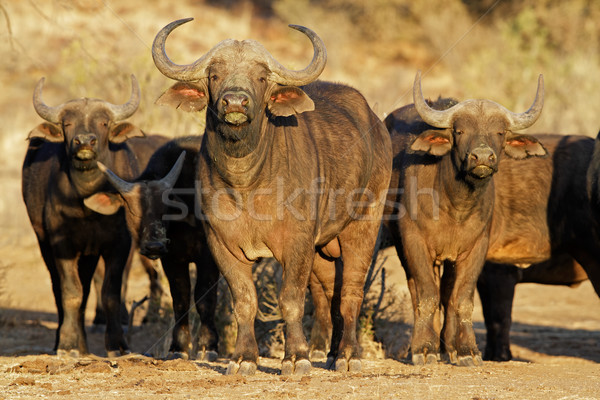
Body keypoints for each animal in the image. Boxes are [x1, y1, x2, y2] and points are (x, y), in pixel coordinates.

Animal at [22, 76, 168, 358]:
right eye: (67, 123)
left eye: (104, 123)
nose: (85, 142)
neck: (87, 203)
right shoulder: (62, 245)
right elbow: (70, 292)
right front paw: (67, 344)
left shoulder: (120, 244)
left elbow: (110, 292)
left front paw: (118, 344)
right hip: (44, 242)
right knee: (60, 289)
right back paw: (70, 341)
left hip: (90, 254)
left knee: (90, 287)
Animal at [152, 18, 392, 376]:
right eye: (214, 75)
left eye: (261, 78)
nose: (235, 103)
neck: (246, 184)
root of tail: (377, 126)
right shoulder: (222, 244)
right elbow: (244, 301)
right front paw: (243, 359)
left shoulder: (297, 242)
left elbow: (290, 299)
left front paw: (296, 358)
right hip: (323, 249)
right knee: (327, 294)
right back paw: (330, 352)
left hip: (364, 225)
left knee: (351, 290)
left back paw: (348, 356)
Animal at [384, 73, 548, 368]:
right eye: (459, 131)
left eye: (500, 132)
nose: (481, 157)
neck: (455, 205)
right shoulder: (414, 242)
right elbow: (427, 295)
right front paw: (423, 349)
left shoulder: (476, 248)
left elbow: (461, 298)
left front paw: (466, 350)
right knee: (418, 291)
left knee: (448, 293)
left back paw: (448, 345)